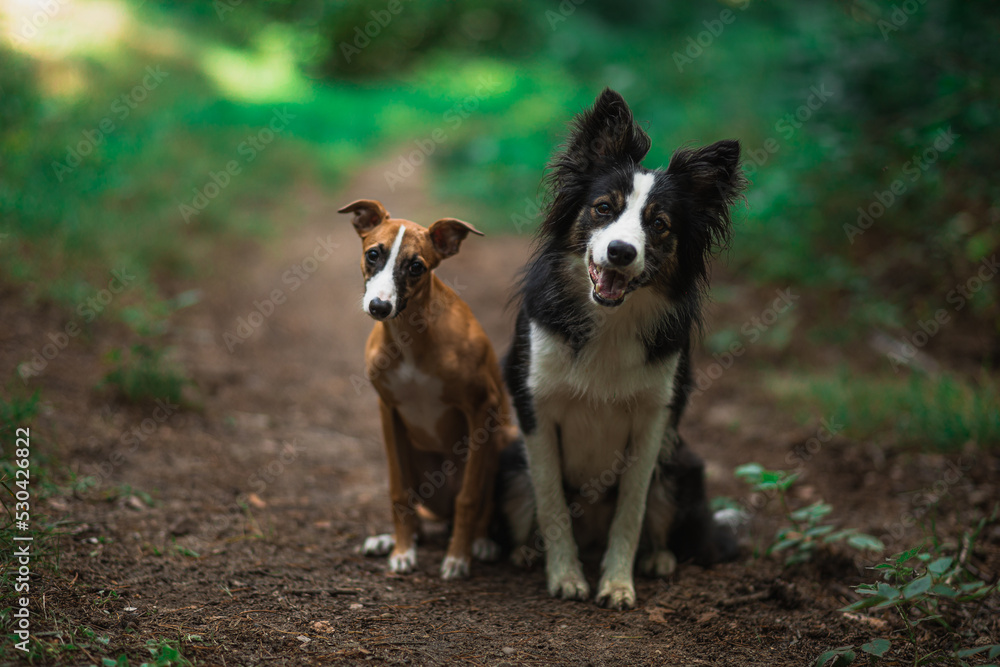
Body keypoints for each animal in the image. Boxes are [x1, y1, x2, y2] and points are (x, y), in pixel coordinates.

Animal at [342, 198, 516, 580]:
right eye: (373, 253)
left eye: (416, 267)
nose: (379, 307)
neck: (411, 339)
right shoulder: (388, 410)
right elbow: (397, 490)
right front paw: (403, 551)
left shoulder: (482, 407)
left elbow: (470, 498)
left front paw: (457, 558)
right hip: (413, 451)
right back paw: (391, 540)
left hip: (503, 441)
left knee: (482, 505)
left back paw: (481, 542)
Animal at [500, 88, 744, 612]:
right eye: (603, 208)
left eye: (660, 225)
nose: (620, 252)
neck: (610, 320)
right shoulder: (536, 409)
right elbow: (551, 503)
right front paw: (566, 576)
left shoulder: (653, 420)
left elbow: (631, 512)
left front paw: (616, 584)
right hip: (508, 462)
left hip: (682, 464)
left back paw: (659, 558)